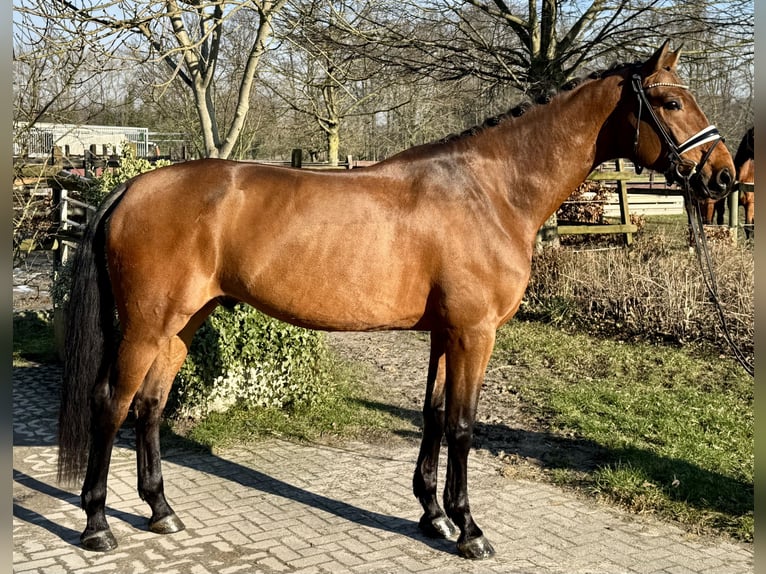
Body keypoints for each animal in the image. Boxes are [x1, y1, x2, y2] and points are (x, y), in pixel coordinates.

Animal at [57, 41, 736, 564]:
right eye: (671, 102)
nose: (724, 176)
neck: (491, 191)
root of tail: (129, 190)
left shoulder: (445, 332)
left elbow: (433, 416)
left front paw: (432, 515)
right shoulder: (474, 333)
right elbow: (462, 426)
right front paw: (469, 530)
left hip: (182, 325)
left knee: (149, 407)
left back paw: (161, 511)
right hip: (146, 326)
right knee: (110, 404)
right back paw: (98, 526)